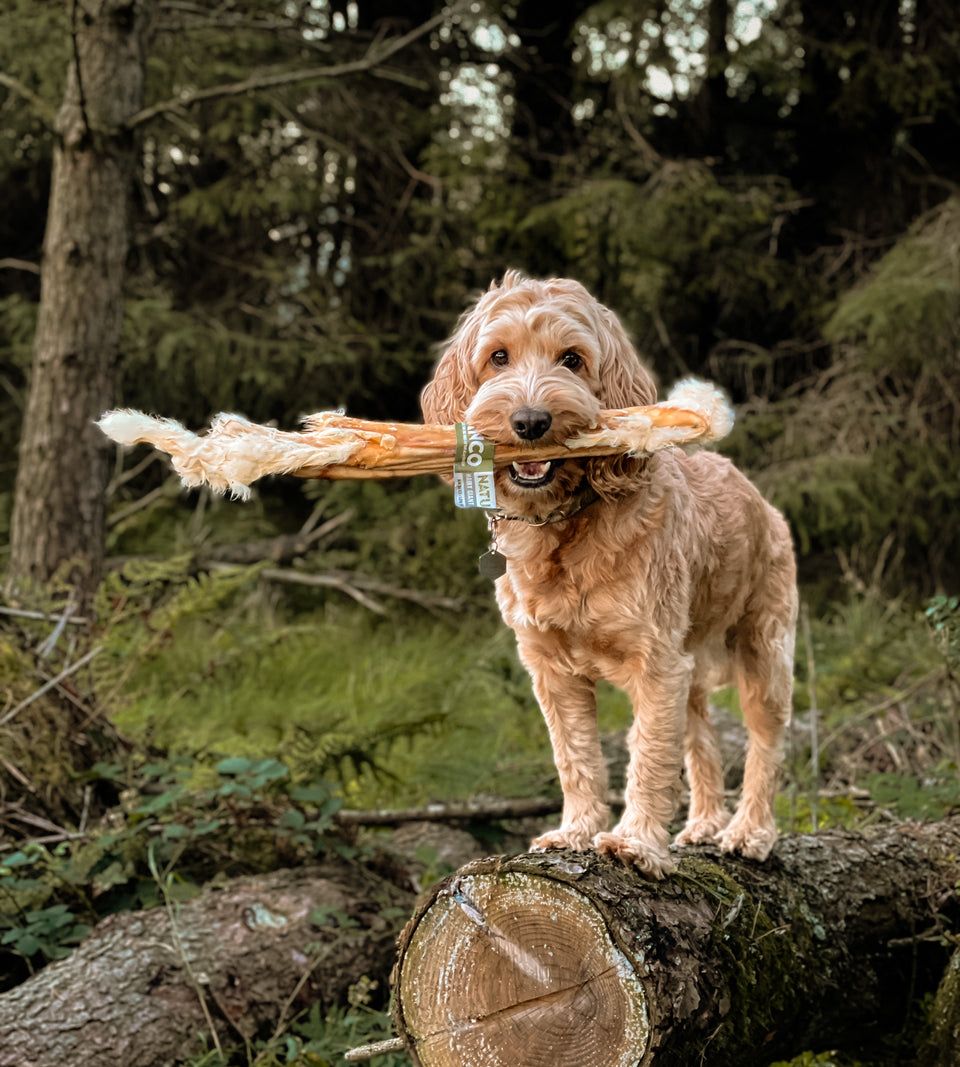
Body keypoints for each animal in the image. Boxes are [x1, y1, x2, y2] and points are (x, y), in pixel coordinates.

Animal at [424, 271, 797, 879]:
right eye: (498, 357)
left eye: (572, 359)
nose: (530, 422)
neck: (563, 528)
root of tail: (753, 492)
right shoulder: (553, 670)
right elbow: (576, 757)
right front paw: (576, 832)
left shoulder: (657, 663)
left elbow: (649, 756)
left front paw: (637, 843)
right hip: (692, 663)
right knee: (702, 739)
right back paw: (704, 823)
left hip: (763, 651)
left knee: (765, 743)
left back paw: (749, 831)